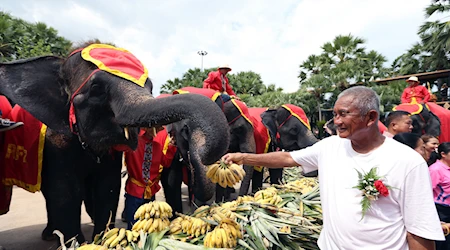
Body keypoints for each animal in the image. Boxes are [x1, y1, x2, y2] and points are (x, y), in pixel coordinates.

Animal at [0, 42, 230, 242]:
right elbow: (65, 192)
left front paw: (102, 237)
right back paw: (50, 235)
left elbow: (108, 188)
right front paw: (78, 242)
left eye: (149, 86)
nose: (206, 151)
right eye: (96, 88)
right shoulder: (56, 142)